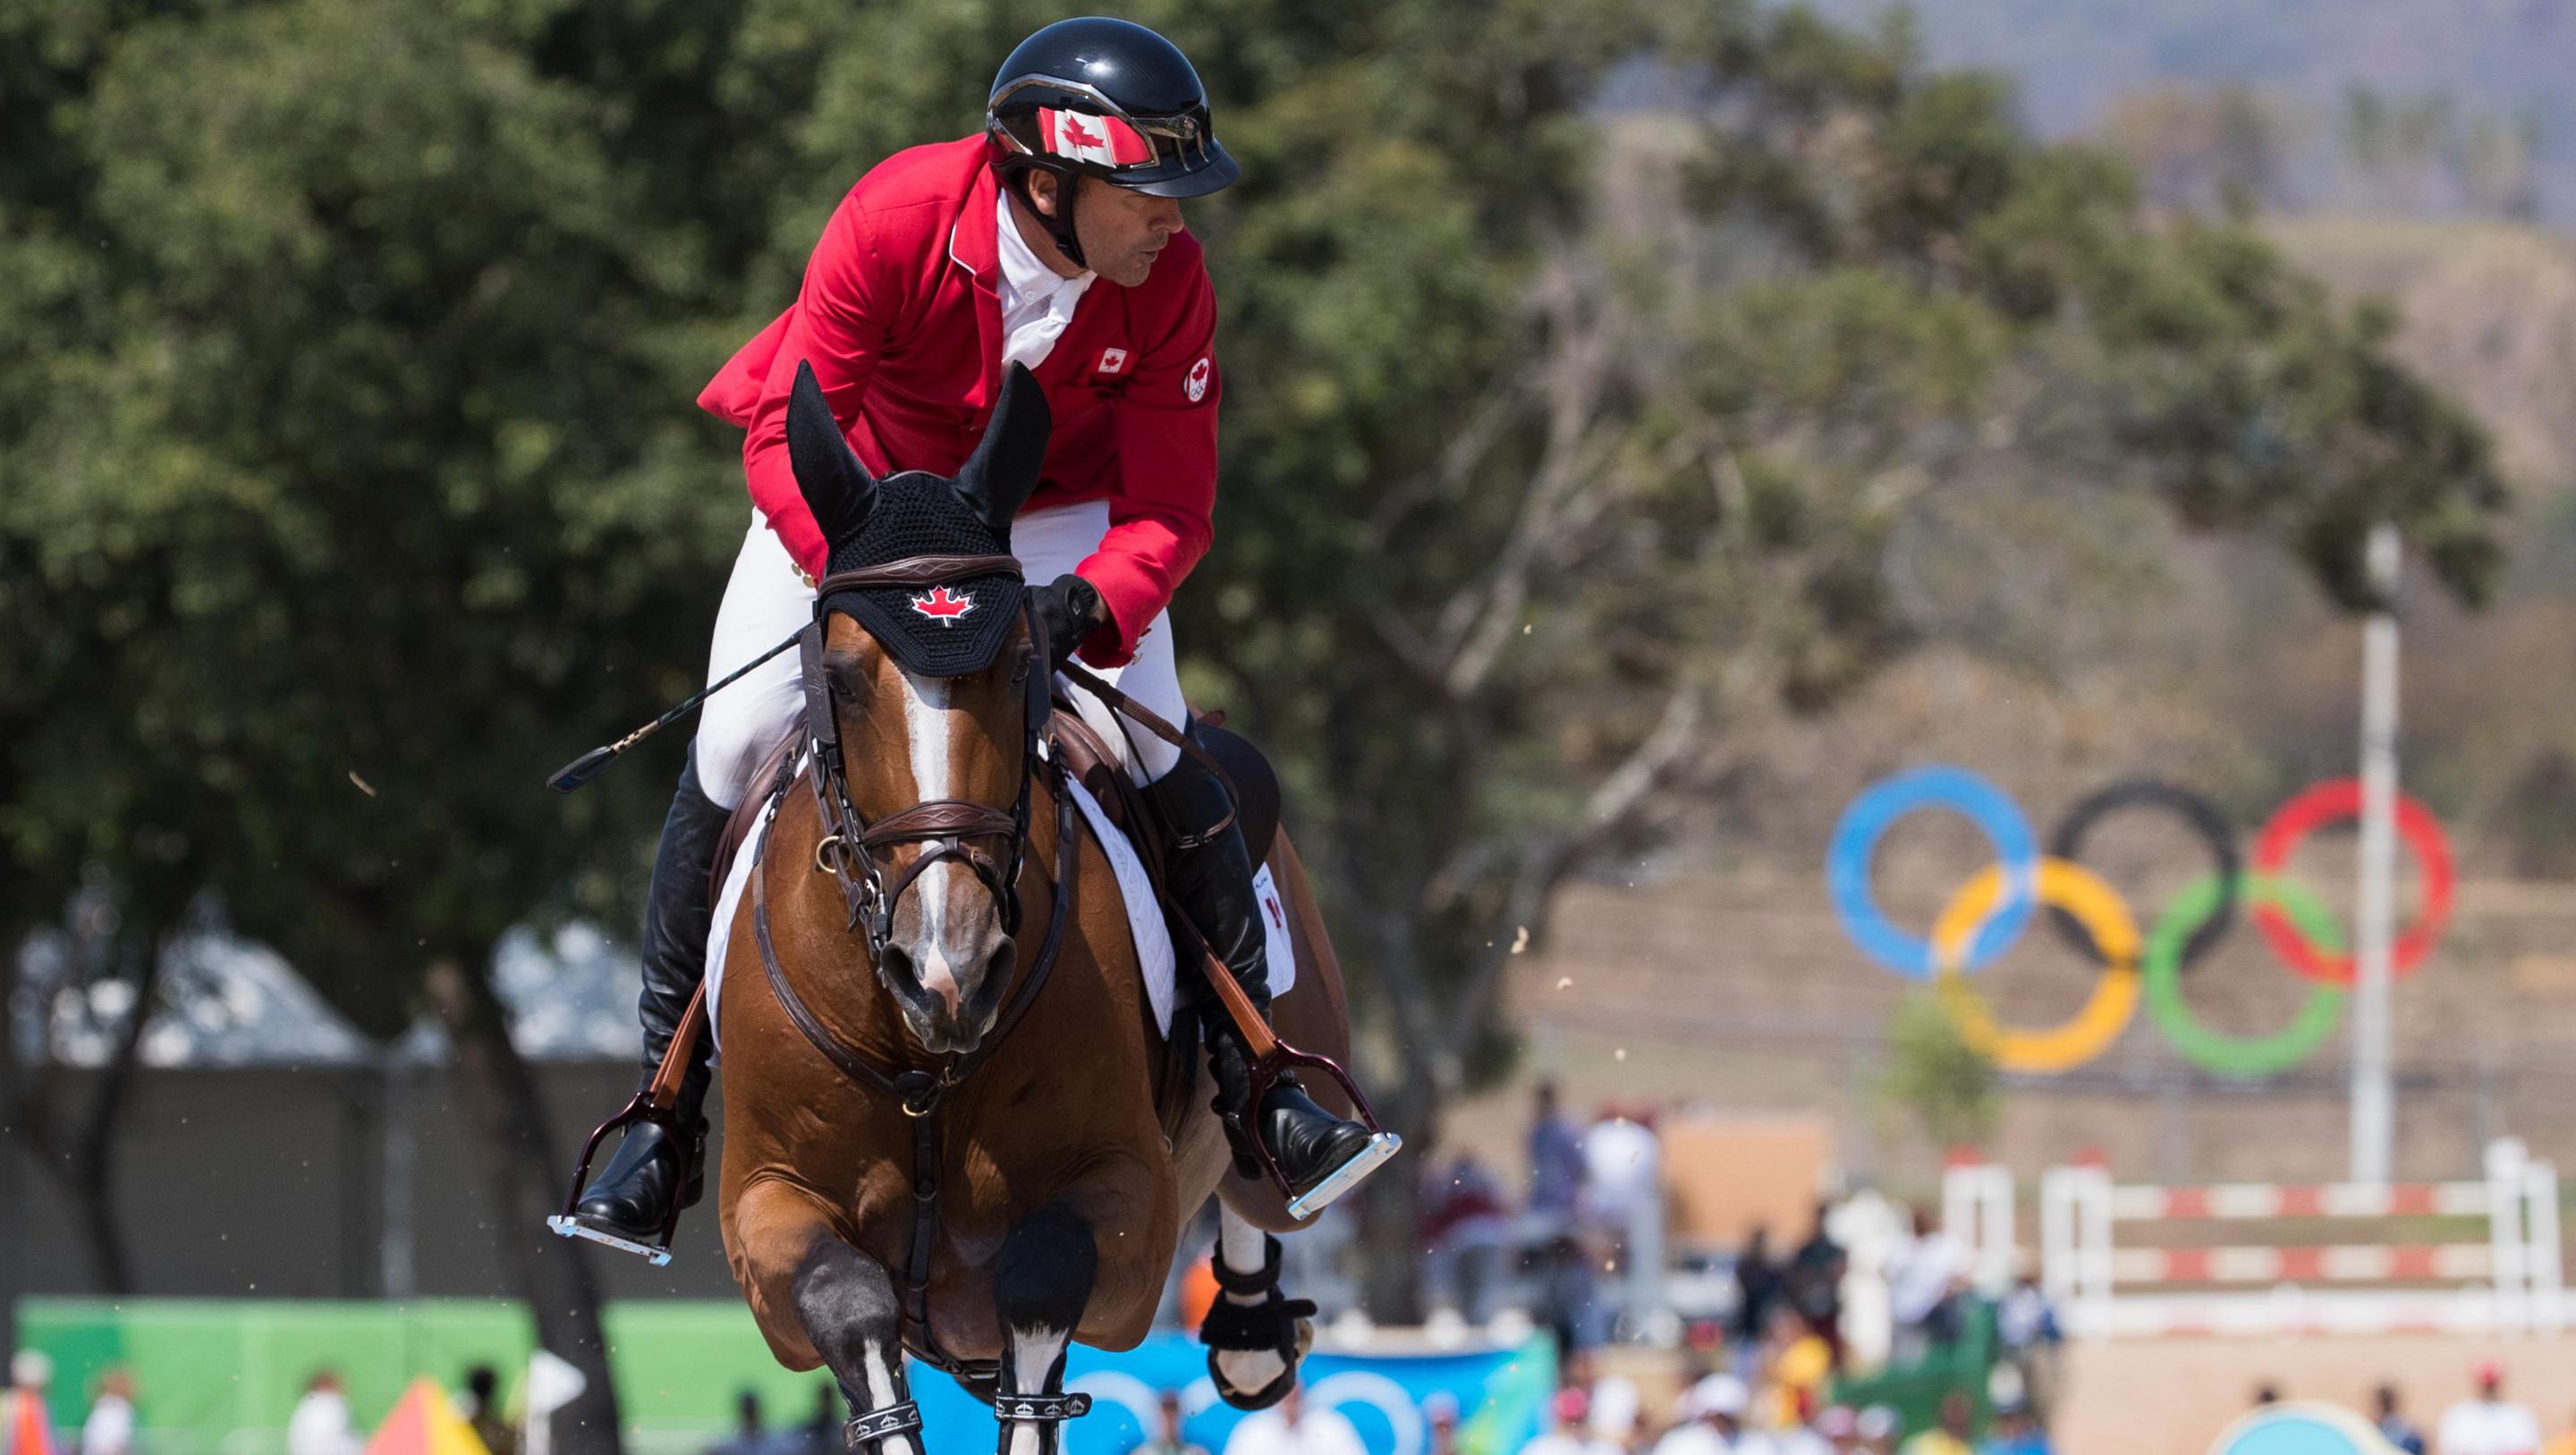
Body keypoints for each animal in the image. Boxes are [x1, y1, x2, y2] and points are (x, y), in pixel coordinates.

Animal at [700, 365, 1350, 1452]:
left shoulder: (1128, 1207)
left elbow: (1038, 1297)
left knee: (1266, 1180)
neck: (925, 1052)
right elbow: (852, 1308)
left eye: (1020, 666)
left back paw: (1258, 1307)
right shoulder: (767, 1209)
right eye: (837, 680)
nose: (949, 969)